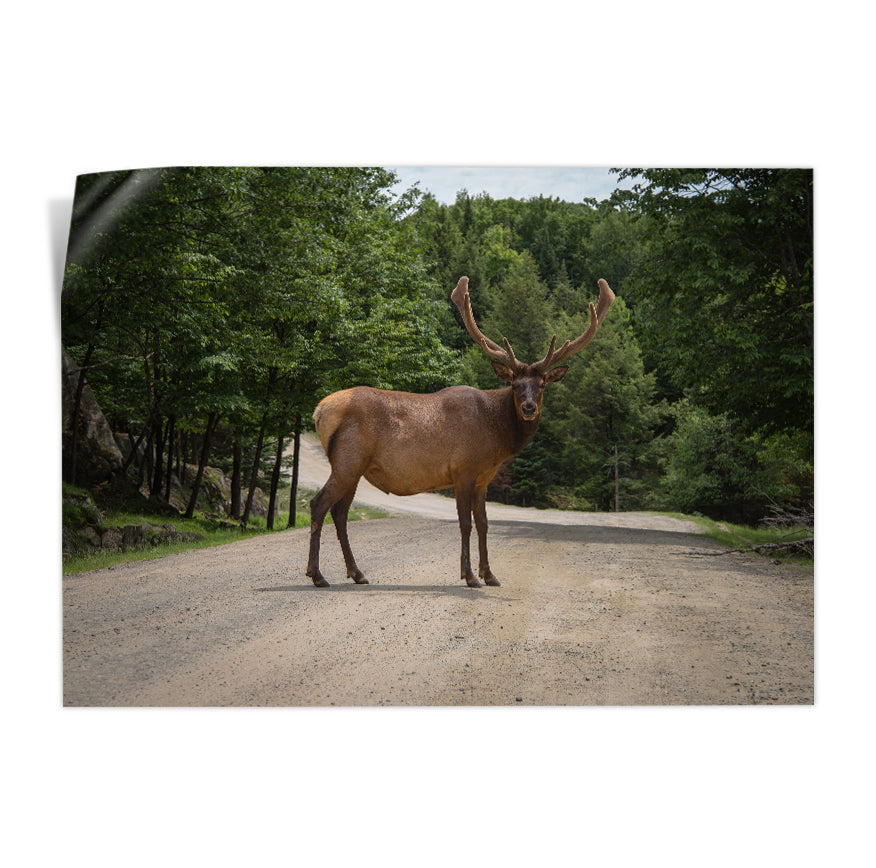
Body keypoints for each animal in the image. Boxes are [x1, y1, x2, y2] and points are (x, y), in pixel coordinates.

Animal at [305, 275, 615, 588]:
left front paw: (490, 574)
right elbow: (465, 523)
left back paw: (357, 573)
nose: (529, 408)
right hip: (348, 460)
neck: (497, 439)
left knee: (340, 512)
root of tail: (319, 410)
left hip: (354, 467)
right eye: (515, 384)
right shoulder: (462, 469)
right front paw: (469, 576)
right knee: (318, 504)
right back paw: (317, 574)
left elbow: (484, 523)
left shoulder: (483, 479)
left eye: (541, 385)